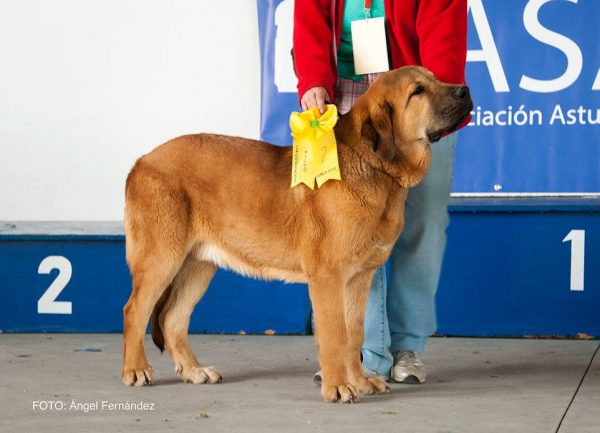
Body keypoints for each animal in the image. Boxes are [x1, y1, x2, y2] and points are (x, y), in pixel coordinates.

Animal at [123, 65, 474, 402]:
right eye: (417, 91)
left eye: (434, 78)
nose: (465, 90)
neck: (375, 167)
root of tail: (140, 162)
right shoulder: (328, 276)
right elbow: (335, 335)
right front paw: (338, 387)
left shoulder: (359, 278)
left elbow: (354, 334)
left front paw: (360, 382)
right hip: (162, 259)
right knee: (135, 311)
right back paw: (136, 369)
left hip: (199, 265)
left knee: (172, 319)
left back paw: (195, 371)